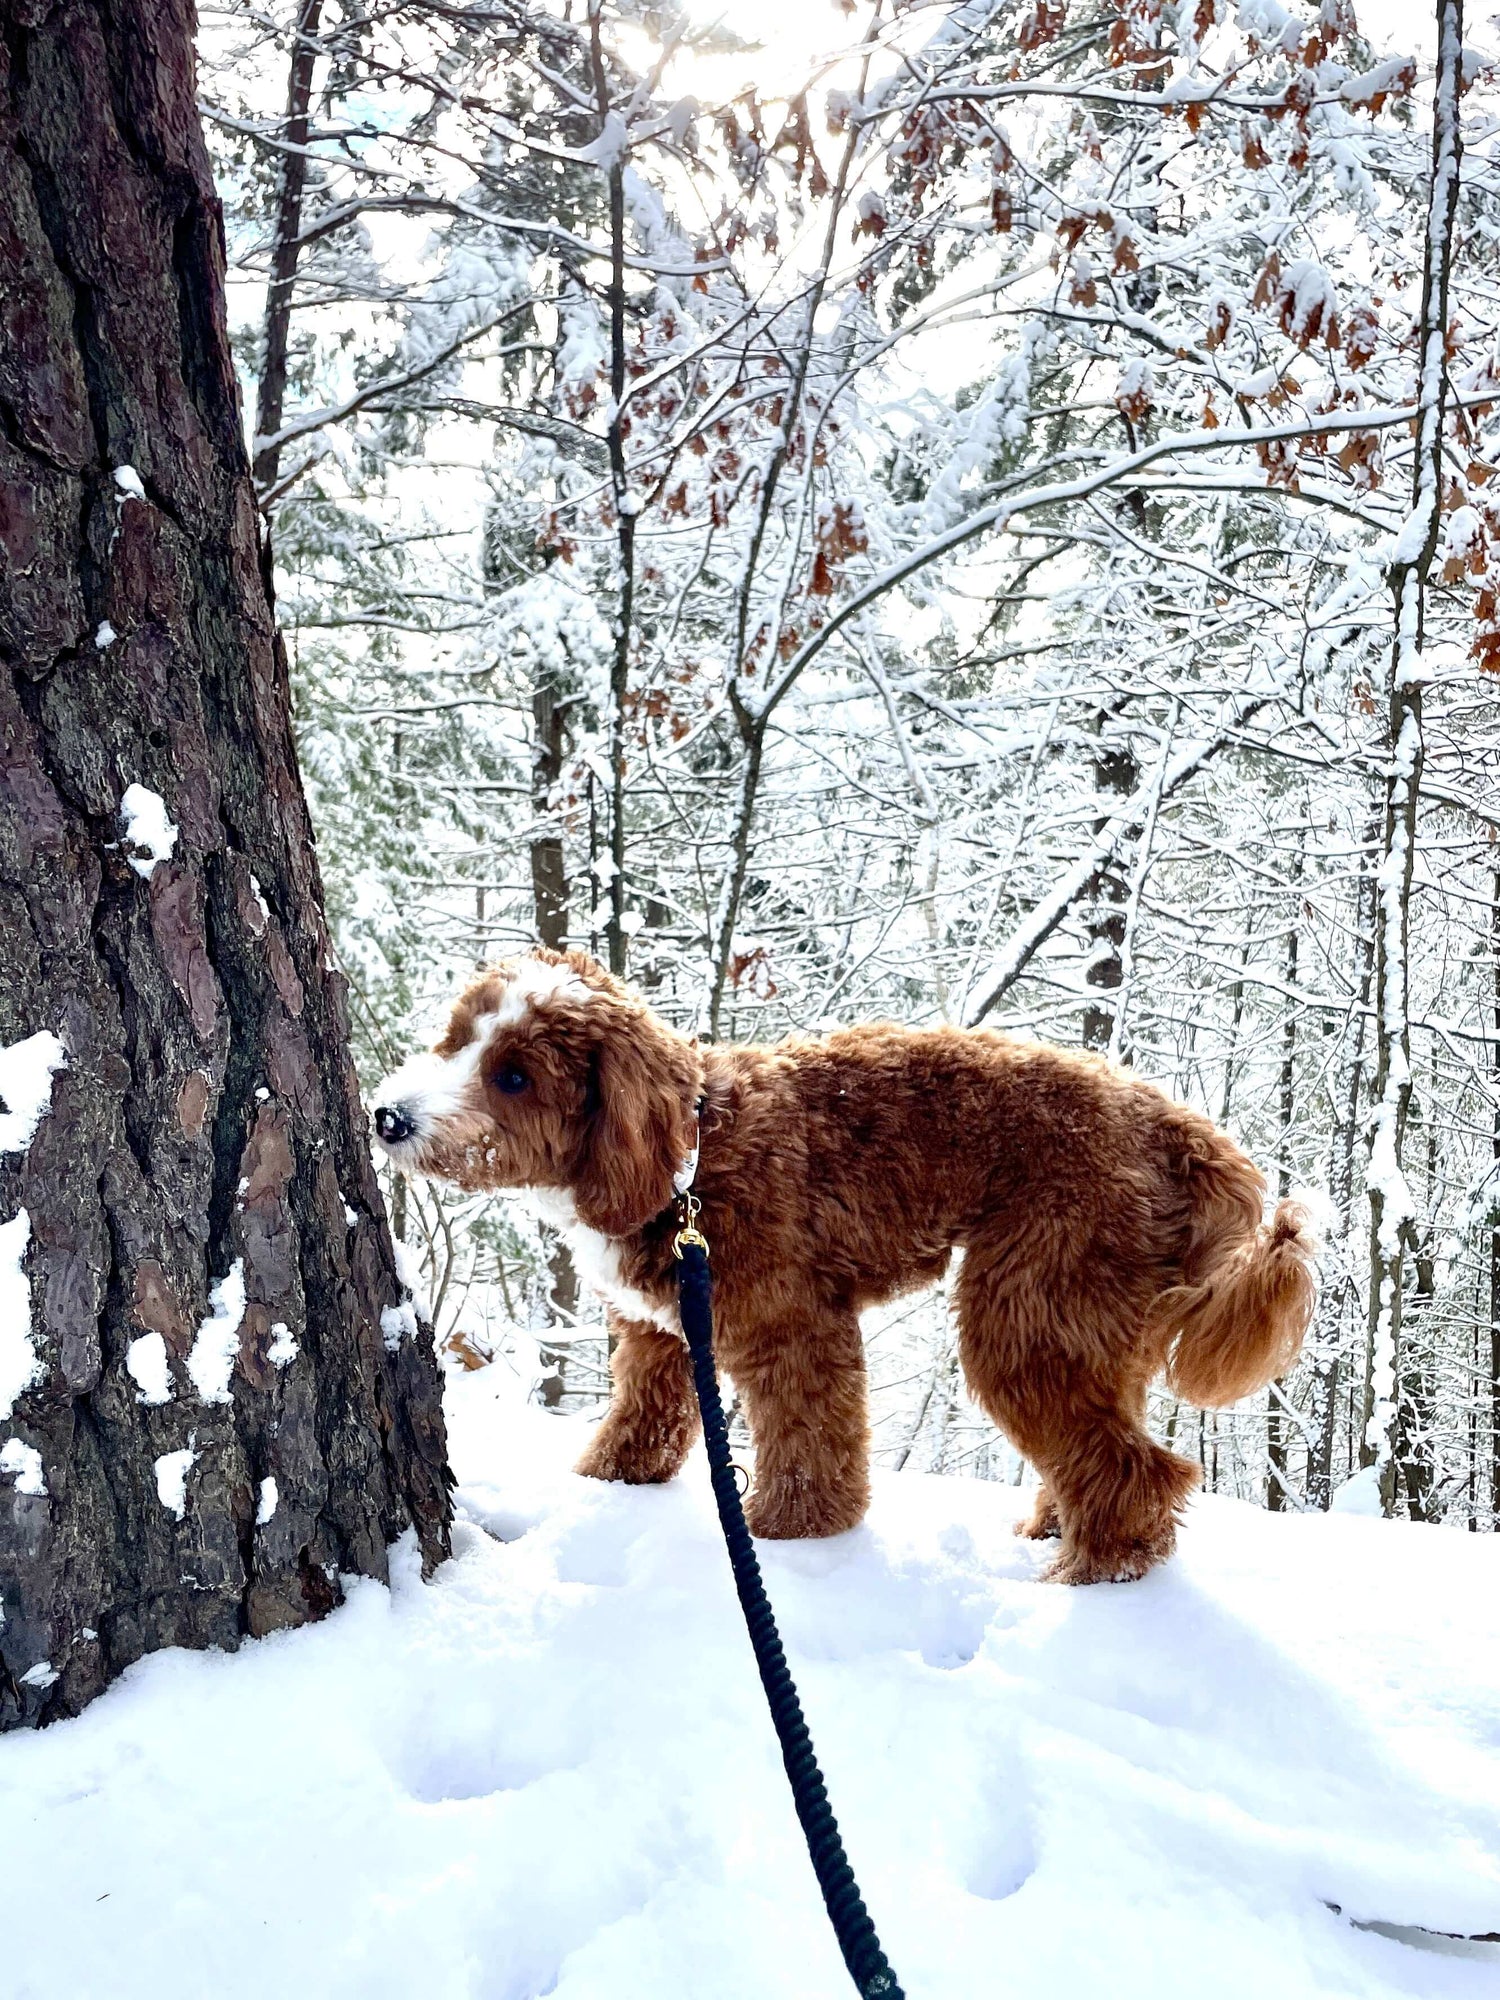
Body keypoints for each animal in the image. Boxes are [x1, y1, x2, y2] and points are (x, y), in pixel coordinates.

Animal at [374, 944, 1312, 1584]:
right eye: (453, 1039)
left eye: (516, 1076)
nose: (387, 1116)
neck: (689, 1158)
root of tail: (1181, 1129)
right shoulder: (664, 1331)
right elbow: (644, 1417)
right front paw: (607, 1488)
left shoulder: (792, 1323)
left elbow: (806, 1441)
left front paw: (793, 1535)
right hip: (1090, 1315)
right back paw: (1055, 1529)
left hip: (1032, 1303)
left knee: (1142, 1469)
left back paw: (1089, 1575)